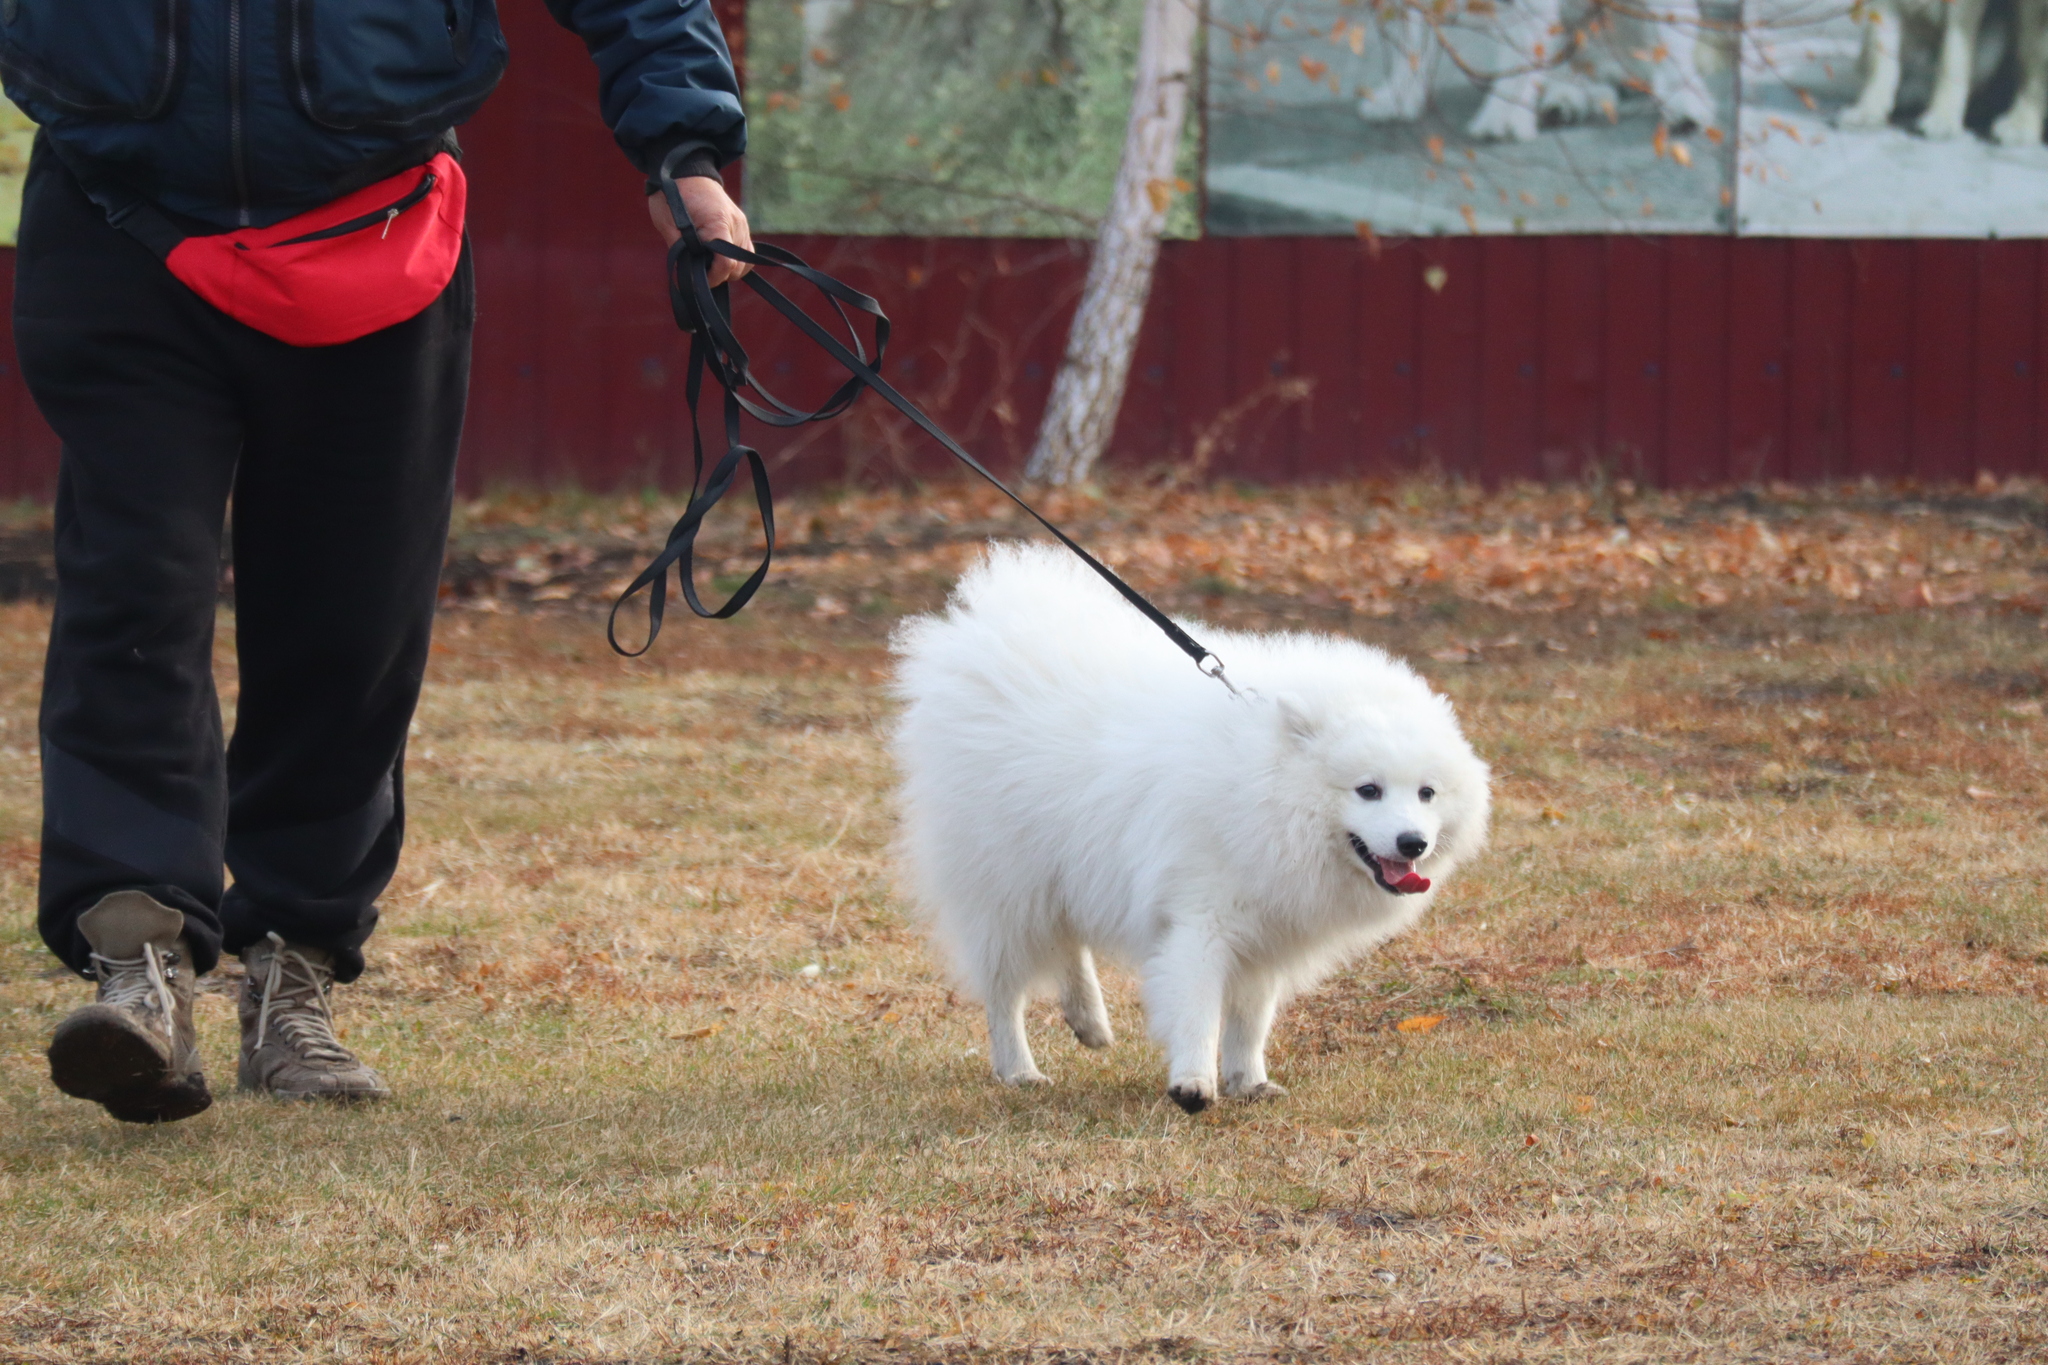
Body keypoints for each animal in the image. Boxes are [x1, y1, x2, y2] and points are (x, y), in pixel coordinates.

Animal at [892, 540, 1490, 1113]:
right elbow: (1198, 1010)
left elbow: (1250, 1021)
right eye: (1368, 790)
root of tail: (989, 626)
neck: (1263, 788)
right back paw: (1018, 1068)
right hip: (1004, 884)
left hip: (1063, 866)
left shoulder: (1265, 934)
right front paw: (1193, 1085)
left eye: (1427, 793)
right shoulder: (1202, 921)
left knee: (1067, 941)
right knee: (1004, 989)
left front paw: (1249, 1082)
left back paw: (1088, 1020)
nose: (1413, 843)